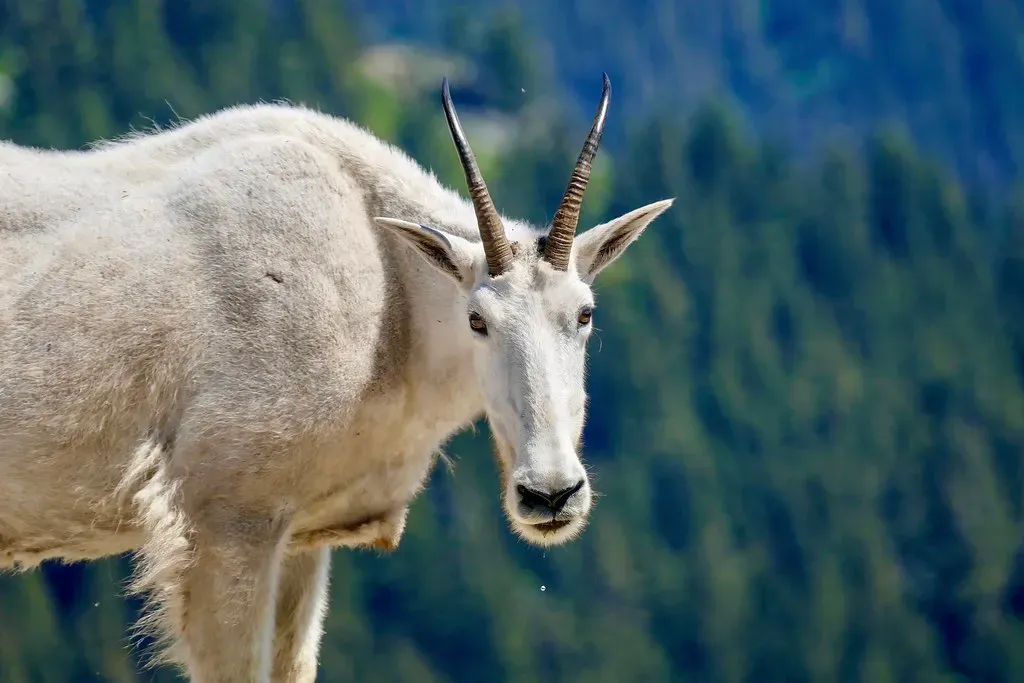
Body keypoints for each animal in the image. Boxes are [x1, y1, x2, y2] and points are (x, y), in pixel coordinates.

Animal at [0, 74, 673, 682]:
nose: (551, 495)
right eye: (477, 319)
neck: (388, 296)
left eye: (584, 313)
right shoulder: (224, 520)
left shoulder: (302, 535)